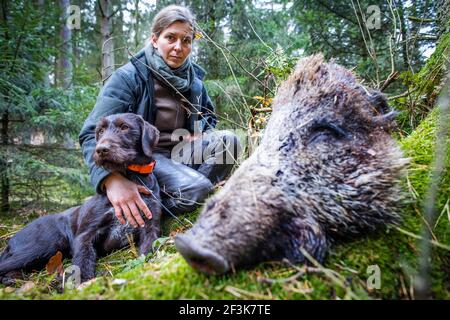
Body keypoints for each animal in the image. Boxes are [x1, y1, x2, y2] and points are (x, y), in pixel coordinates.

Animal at [0, 114, 162, 284]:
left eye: (124, 127)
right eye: (101, 130)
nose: (100, 149)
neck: (131, 177)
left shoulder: (150, 227)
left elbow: (148, 249)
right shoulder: (85, 234)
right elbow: (83, 258)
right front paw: (83, 281)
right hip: (45, 244)